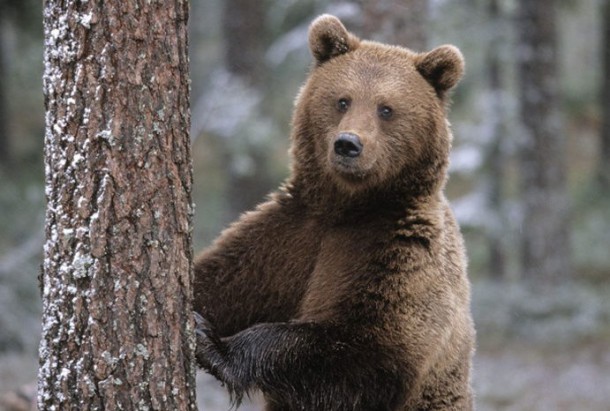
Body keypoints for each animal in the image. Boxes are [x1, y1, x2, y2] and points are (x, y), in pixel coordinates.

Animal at [195, 13, 476, 411]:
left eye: (386, 108)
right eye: (343, 100)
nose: (348, 144)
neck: (348, 207)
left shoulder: (398, 254)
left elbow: (364, 351)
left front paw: (214, 345)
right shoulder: (289, 236)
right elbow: (222, 280)